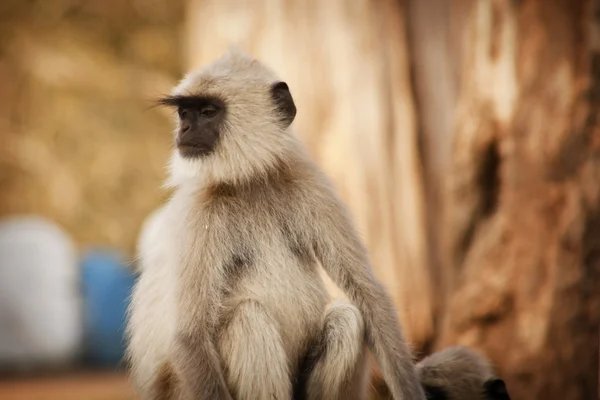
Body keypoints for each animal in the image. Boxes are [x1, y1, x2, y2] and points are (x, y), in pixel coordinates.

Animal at [126, 47, 426, 400]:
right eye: (185, 114)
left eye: (207, 112)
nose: (184, 130)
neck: (249, 181)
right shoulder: (197, 212)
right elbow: (189, 335)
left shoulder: (311, 185)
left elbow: (367, 292)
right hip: (179, 388)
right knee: (249, 318)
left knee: (346, 317)